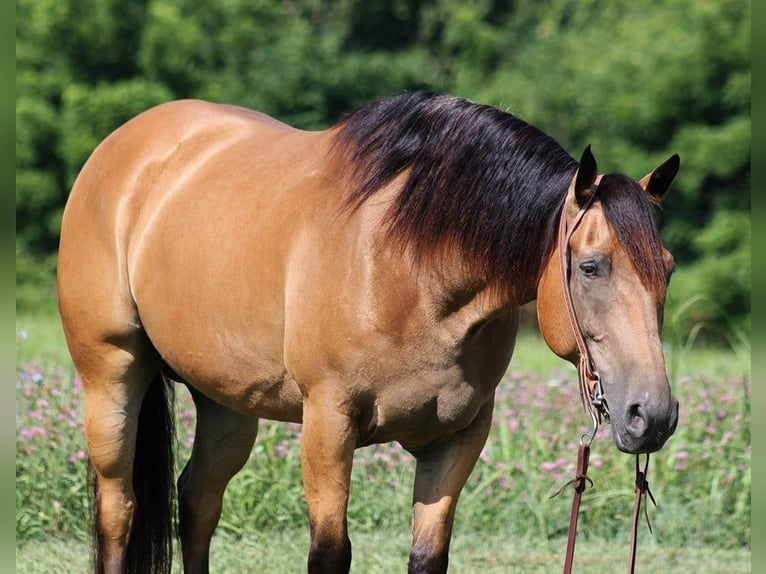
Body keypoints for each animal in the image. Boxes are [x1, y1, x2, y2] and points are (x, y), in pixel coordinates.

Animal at [57, 92, 680, 572]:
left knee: (198, 502)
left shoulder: (458, 437)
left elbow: (428, 556)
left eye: (667, 269)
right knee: (120, 510)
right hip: (112, 376)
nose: (651, 415)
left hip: (226, 403)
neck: (412, 267)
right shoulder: (328, 423)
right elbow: (330, 553)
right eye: (591, 267)